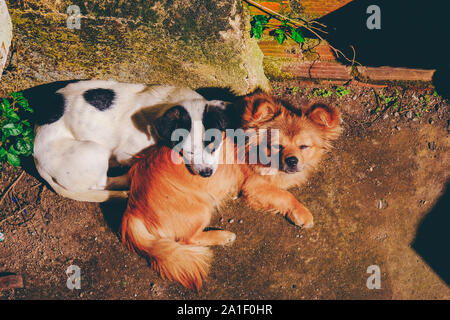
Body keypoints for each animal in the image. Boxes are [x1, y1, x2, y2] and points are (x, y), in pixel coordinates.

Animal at [24, 80, 229, 201]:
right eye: (188, 151)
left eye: (213, 145)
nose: (206, 173)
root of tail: (36, 159)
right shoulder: (126, 152)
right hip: (94, 151)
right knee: (101, 183)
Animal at [120, 90, 342, 290]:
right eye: (277, 146)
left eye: (304, 147)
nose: (292, 161)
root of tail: (132, 209)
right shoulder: (254, 187)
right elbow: (285, 196)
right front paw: (301, 213)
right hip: (201, 207)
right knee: (188, 239)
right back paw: (223, 236)